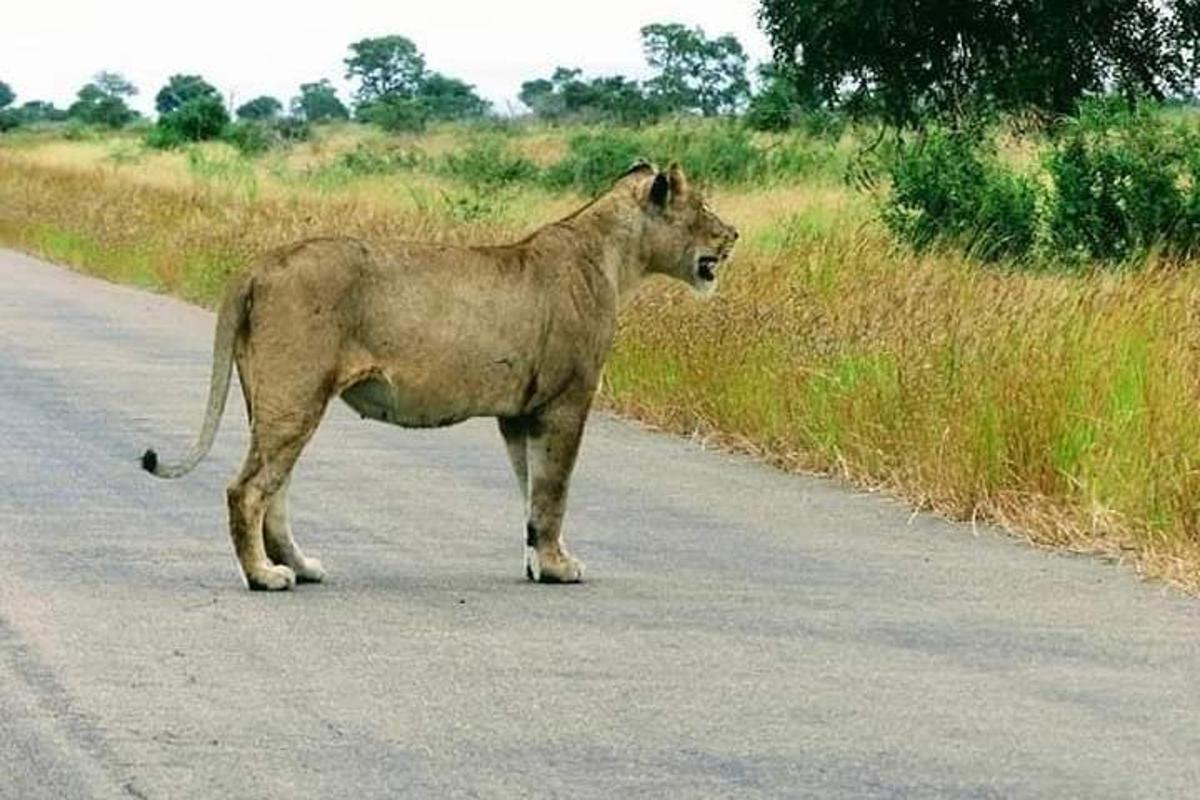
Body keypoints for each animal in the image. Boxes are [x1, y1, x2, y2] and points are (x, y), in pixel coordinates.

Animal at [141, 160, 739, 587]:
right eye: (704, 206)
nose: (733, 235)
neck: (616, 257)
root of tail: (260, 264)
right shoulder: (566, 400)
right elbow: (554, 492)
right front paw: (558, 567)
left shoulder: (518, 415)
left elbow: (530, 490)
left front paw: (538, 564)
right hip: (296, 394)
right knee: (246, 490)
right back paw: (264, 577)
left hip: (273, 398)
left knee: (275, 490)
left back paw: (301, 567)